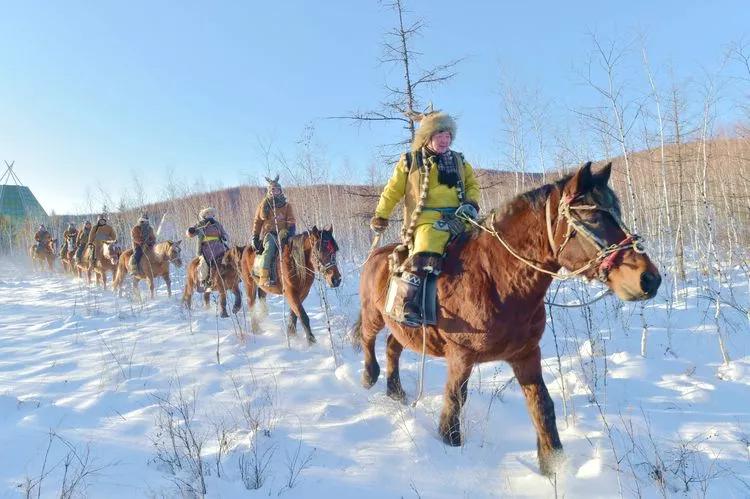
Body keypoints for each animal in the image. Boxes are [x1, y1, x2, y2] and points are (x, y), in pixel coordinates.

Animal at [358, 163, 664, 476]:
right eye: (592, 217)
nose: (649, 278)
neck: (496, 278)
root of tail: (377, 254)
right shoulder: (460, 355)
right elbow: (454, 402)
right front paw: (449, 443)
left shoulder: (526, 354)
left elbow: (542, 405)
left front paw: (553, 464)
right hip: (373, 314)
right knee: (367, 339)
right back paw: (370, 376)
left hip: (404, 329)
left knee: (393, 346)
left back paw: (395, 392)